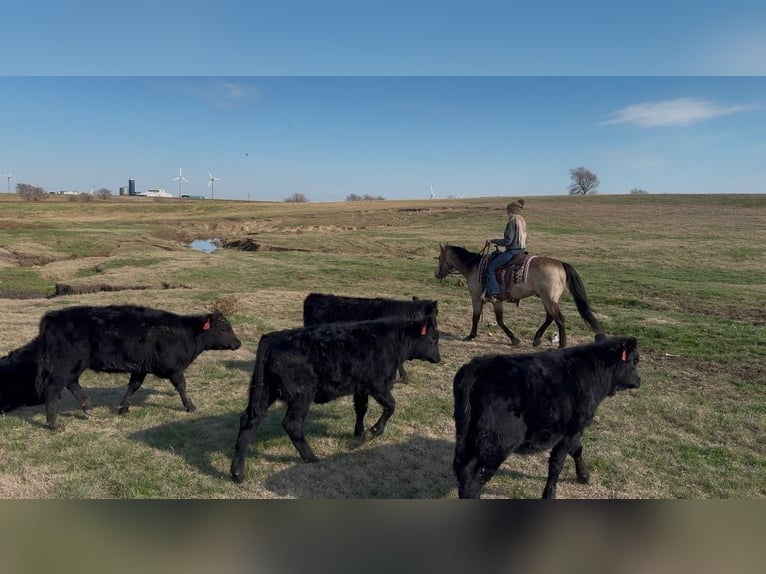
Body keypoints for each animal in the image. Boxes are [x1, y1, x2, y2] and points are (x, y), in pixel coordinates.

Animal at [34, 306, 240, 432]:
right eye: (224, 328)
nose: (238, 343)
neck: (186, 333)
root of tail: (53, 316)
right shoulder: (174, 368)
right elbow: (182, 386)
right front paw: (190, 407)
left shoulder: (141, 368)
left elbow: (133, 386)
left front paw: (123, 408)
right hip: (64, 364)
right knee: (53, 388)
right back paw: (54, 424)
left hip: (73, 365)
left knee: (72, 383)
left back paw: (88, 407)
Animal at [231, 318, 440, 484]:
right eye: (434, 338)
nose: (438, 358)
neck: (392, 340)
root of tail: (274, 337)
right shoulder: (379, 386)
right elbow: (390, 407)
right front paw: (370, 433)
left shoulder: (360, 387)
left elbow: (361, 409)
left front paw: (358, 434)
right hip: (301, 395)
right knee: (292, 424)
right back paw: (311, 457)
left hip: (264, 392)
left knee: (249, 420)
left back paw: (237, 472)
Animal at [438, 243, 608, 346]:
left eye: (440, 258)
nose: (437, 274)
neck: (473, 266)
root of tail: (561, 264)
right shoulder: (497, 300)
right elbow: (499, 320)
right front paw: (514, 338)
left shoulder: (475, 297)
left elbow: (476, 316)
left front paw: (471, 336)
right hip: (546, 298)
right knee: (550, 317)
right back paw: (537, 339)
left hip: (549, 299)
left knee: (559, 318)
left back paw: (561, 344)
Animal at [456, 336, 640, 502]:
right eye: (634, 361)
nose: (639, 381)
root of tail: (480, 364)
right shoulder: (571, 430)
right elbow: (556, 465)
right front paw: (550, 495)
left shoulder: (573, 430)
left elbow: (577, 449)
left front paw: (584, 476)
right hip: (496, 444)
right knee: (474, 483)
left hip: (468, 438)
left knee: (464, 473)